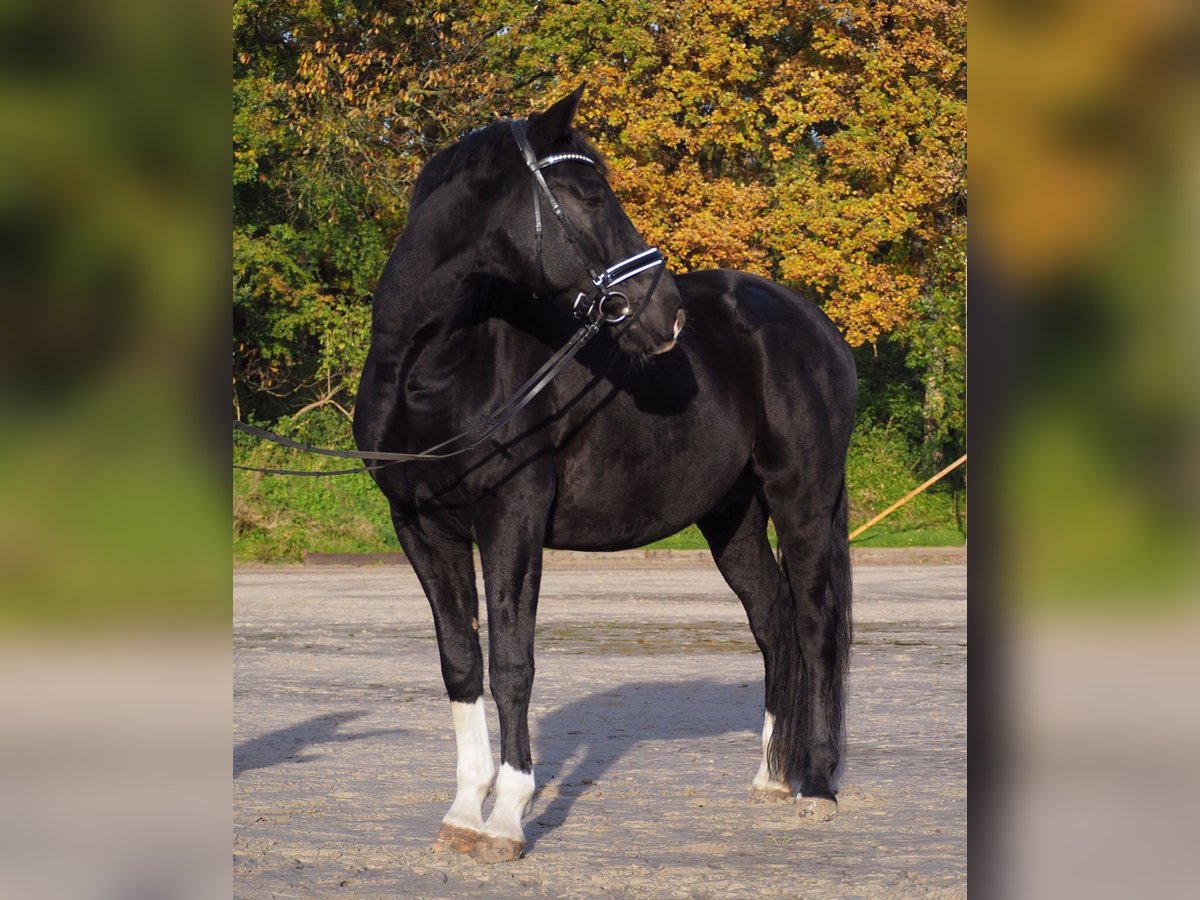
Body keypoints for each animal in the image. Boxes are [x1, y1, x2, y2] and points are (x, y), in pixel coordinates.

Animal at [350, 86, 859, 868]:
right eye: (588, 194)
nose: (667, 314)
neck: (433, 371)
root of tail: (810, 322)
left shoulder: (512, 518)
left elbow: (513, 663)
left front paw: (507, 820)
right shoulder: (421, 529)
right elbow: (462, 662)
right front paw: (463, 815)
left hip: (802, 502)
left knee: (815, 625)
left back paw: (817, 789)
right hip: (733, 517)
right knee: (774, 622)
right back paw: (772, 778)